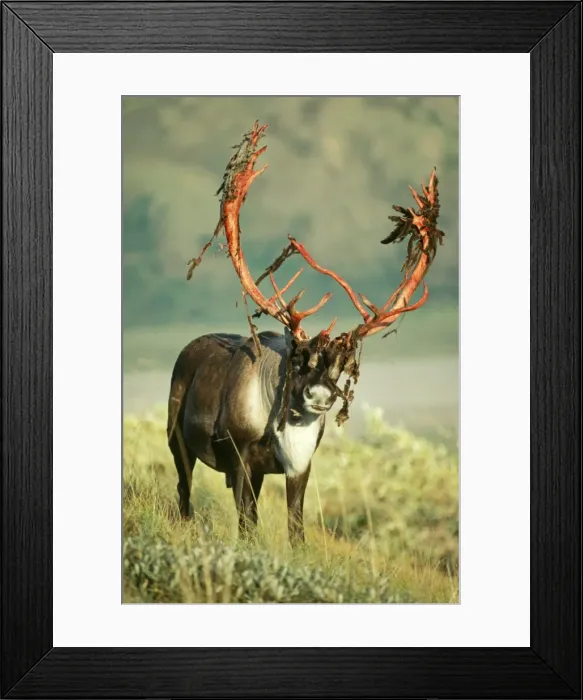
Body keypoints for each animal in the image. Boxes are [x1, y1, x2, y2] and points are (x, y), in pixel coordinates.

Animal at [167, 121, 444, 545]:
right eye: (297, 358)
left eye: (342, 365)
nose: (320, 396)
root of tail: (188, 347)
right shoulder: (241, 457)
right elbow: (246, 523)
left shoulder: (300, 465)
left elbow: (295, 526)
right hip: (176, 436)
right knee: (184, 489)